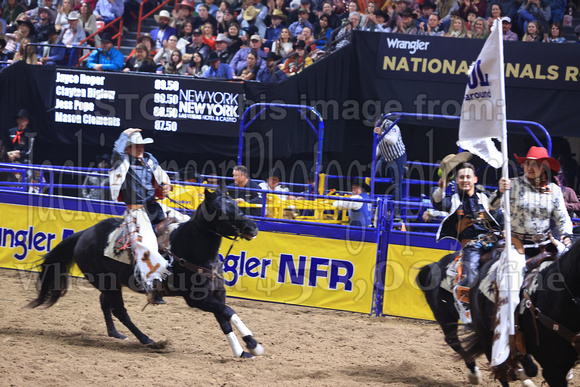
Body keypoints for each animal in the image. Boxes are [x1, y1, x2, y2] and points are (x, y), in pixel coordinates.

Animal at [27, 189, 262, 360]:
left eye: (236, 205)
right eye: (220, 211)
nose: (252, 227)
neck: (192, 250)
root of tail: (84, 234)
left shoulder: (217, 294)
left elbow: (224, 319)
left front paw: (241, 351)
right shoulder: (197, 299)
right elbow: (228, 311)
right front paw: (253, 344)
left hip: (110, 282)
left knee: (105, 303)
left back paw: (115, 334)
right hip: (107, 283)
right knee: (120, 311)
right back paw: (146, 339)